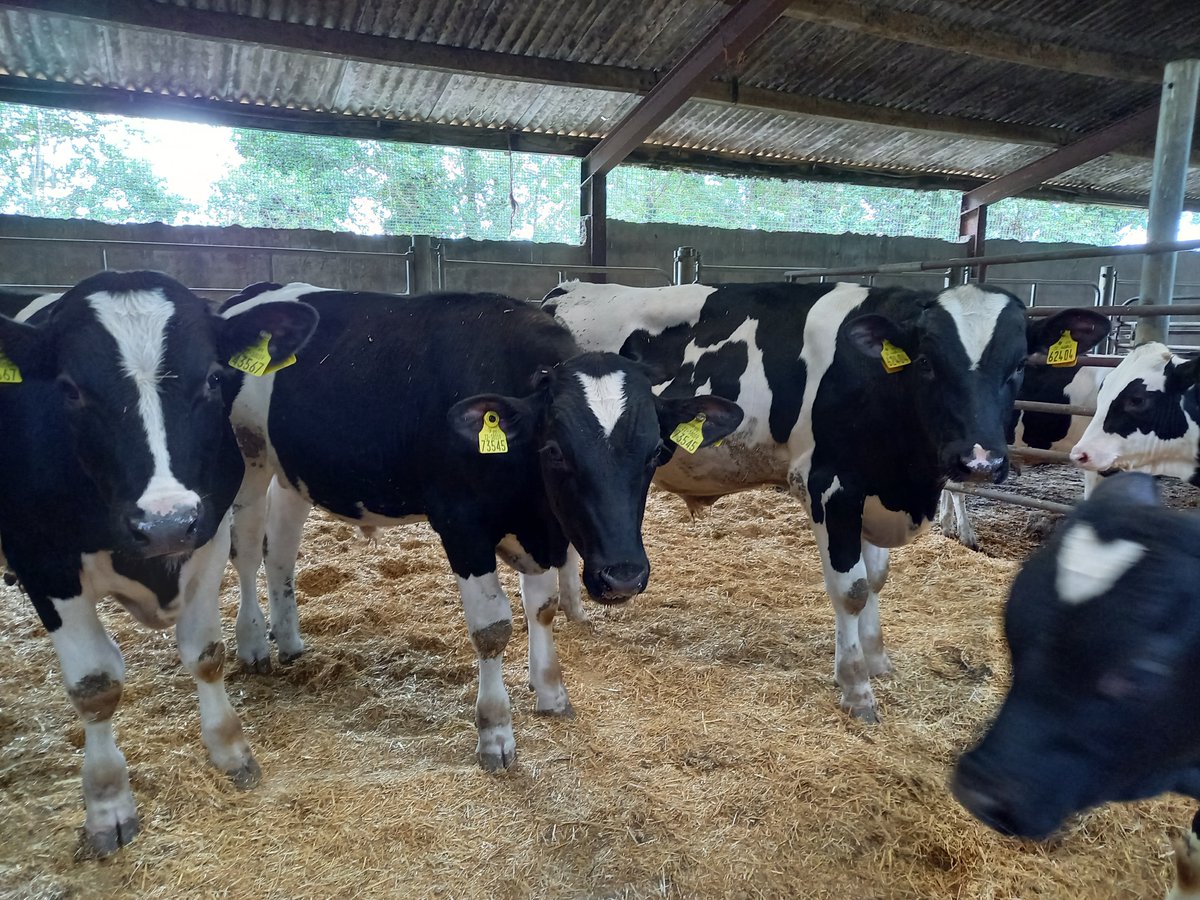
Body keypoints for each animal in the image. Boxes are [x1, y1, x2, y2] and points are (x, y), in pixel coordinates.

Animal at [0, 270, 317, 854]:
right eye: (68, 388)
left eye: (214, 377)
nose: (164, 522)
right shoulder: (44, 561)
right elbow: (95, 685)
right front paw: (108, 804)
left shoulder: (206, 533)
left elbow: (206, 654)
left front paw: (231, 752)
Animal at [218, 283, 743, 771]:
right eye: (555, 450)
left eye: (655, 452)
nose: (623, 578)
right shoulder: (461, 524)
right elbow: (492, 627)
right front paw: (495, 732)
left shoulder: (543, 529)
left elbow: (543, 608)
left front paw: (550, 692)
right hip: (247, 460)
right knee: (245, 549)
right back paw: (253, 644)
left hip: (293, 472)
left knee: (281, 549)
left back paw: (289, 640)